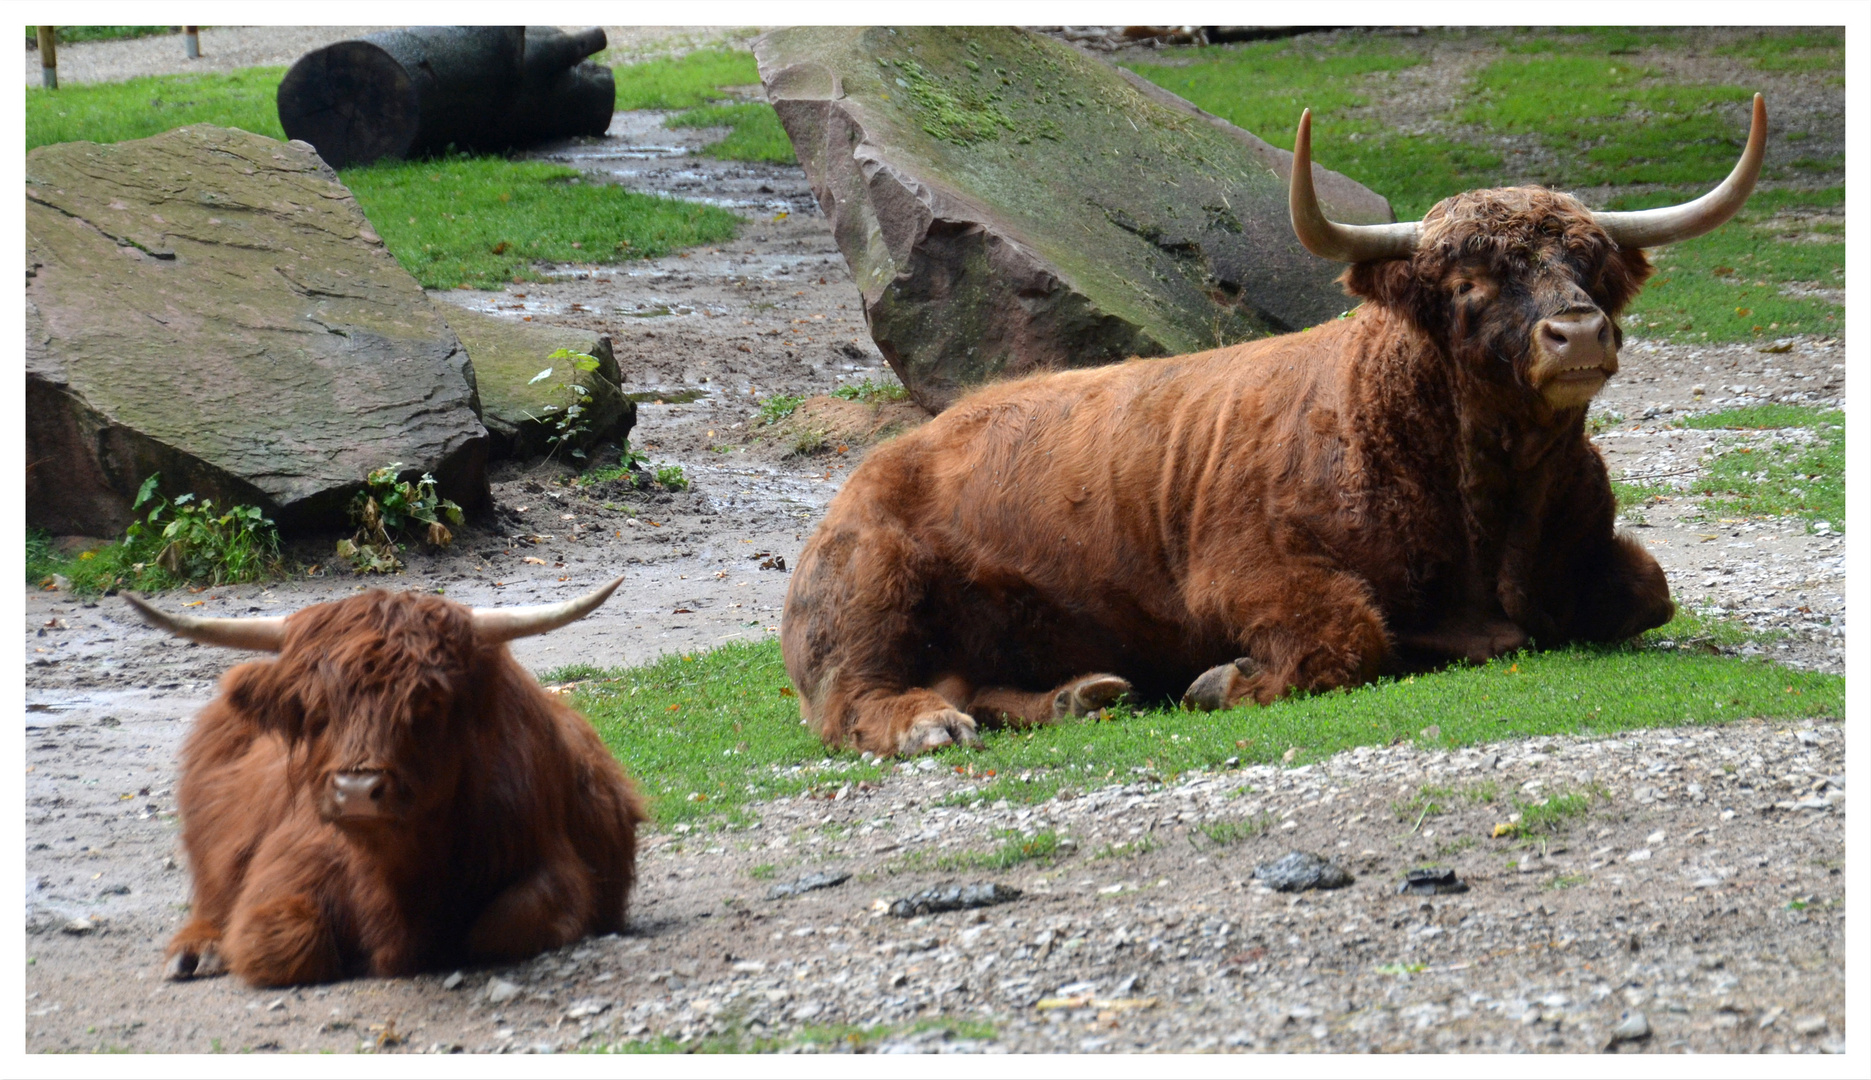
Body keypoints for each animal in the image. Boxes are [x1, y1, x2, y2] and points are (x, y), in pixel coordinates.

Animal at [128, 580, 647, 988]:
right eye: (316, 708)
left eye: (428, 704)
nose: (357, 792)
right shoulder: (281, 875)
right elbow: (279, 942)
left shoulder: (553, 865)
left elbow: (504, 925)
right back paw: (196, 952)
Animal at [778, 94, 1766, 748]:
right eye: (1467, 280)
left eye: (1589, 262)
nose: (1578, 333)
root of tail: (871, 470)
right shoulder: (1248, 572)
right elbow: (1349, 634)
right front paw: (1222, 681)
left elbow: (1648, 590)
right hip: (869, 593)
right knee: (851, 701)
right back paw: (934, 726)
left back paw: (1081, 695)